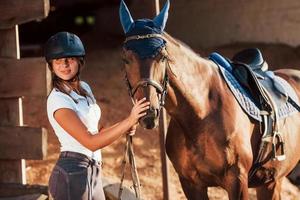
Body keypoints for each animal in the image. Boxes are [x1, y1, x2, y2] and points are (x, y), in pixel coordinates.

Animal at [118, 0, 300, 199]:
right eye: (125, 59)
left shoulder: (238, 180)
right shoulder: (190, 183)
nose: (149, 113)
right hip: (269, 181)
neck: (201, 113)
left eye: (163, 57)